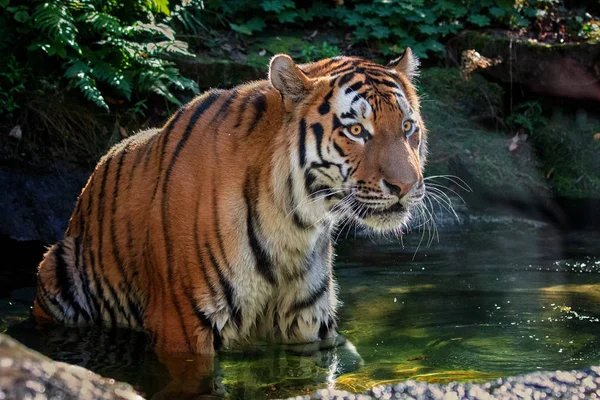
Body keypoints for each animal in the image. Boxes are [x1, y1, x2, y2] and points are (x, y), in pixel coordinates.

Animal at [31, 49, 426, 354]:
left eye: (407, 127)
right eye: (356, 131)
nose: (405, 185)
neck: (295, 225)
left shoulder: (307, 322)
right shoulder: (182, 323)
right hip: (56, 267)